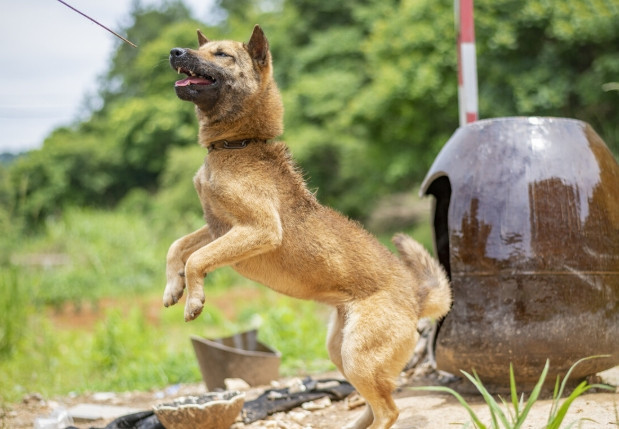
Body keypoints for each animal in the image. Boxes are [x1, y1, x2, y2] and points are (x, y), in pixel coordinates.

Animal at [167, 26, 452, 428]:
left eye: (222, 54)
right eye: (203, 48)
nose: (175, 52)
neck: (237, 146)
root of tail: (416, 297)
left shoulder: (258, 230)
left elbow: (196, 259)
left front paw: (194, 300)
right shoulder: (218, 228)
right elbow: (177, 247)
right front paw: (172, 288)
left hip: (357, 357)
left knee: (389, 410)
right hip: (341, 353)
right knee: (374, 404)